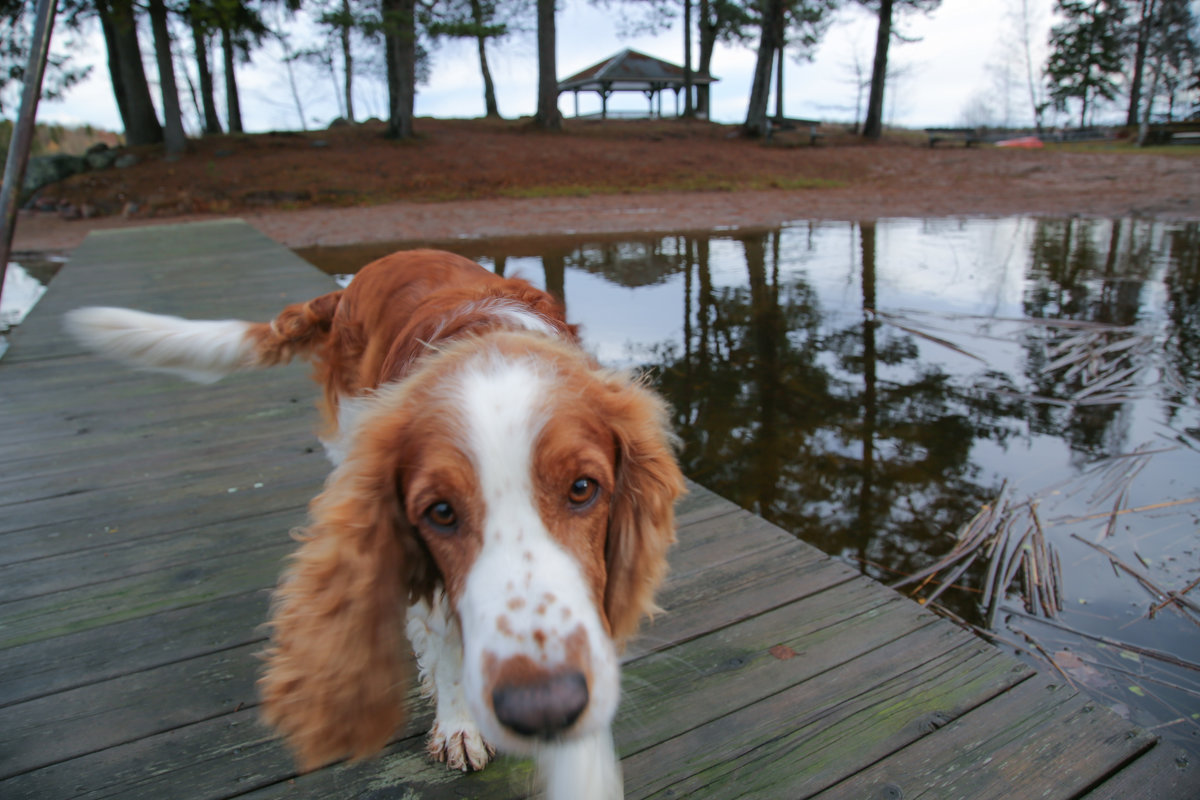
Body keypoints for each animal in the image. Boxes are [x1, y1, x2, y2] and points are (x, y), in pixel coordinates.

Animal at [65, 250, 686, 800]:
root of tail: (359, 278)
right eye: (440, 512)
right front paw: (459, 726)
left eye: (583, 488)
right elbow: (446, 648)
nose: (544, 709)